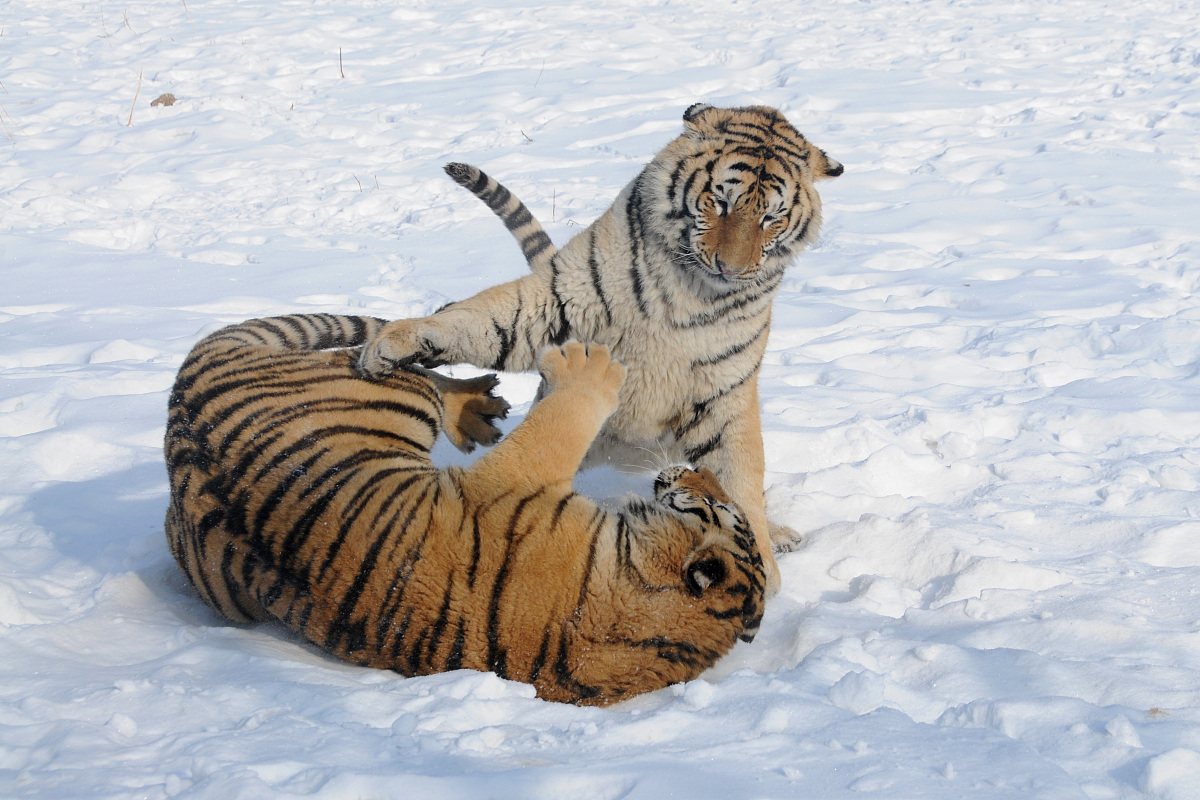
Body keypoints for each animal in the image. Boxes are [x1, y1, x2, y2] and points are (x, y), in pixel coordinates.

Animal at [164, 311, 763, 705]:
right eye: (721, 500)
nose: (693, 470)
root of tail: (187, 388)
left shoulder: (510, 477)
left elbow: (563, 419)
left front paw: (589, 365)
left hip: (393, 393)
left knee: (404, 367)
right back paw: (480, 402)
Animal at [355, 101, 844, 594]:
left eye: (771, 218)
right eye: (719, 201)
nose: (732, 269)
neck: (694, 290)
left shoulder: (725, 391)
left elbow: (738, 477)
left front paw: (760, 557)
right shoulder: (558, 300)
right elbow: (483, 317)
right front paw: (394, 341)